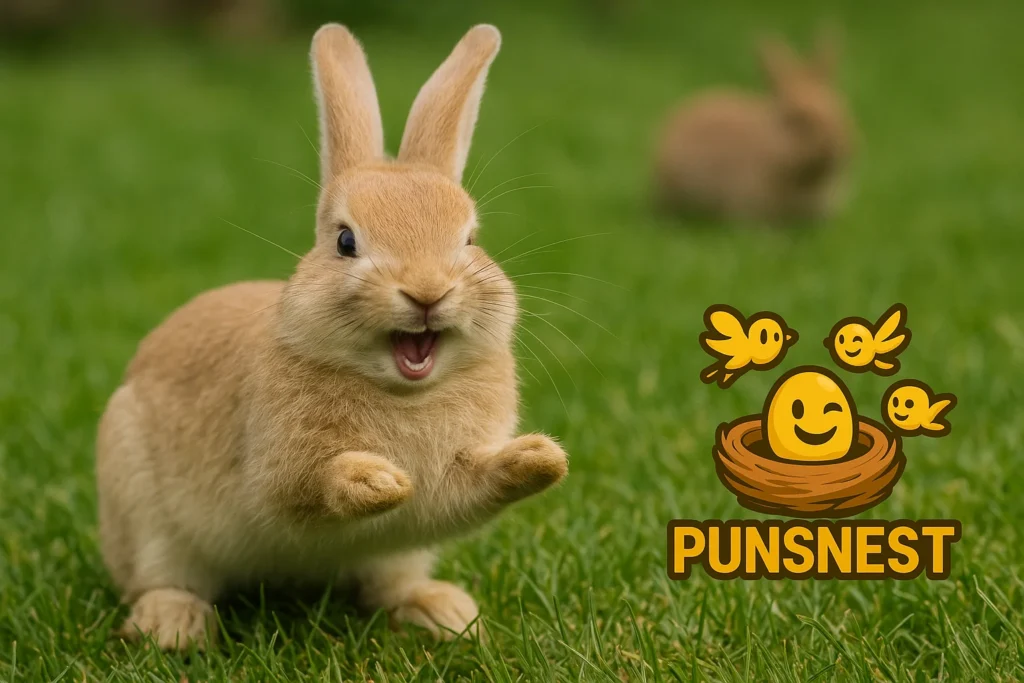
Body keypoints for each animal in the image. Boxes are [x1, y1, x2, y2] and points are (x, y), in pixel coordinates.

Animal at [96, 23, 569, 651]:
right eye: (345, 241)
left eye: (469, 239)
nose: (427, 291)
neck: (404, 392)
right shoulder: (275, 469)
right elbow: (307, 488)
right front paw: (375, 478)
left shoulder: (441, 494)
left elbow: (462, 491)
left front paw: (539, 457)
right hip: (142, 506)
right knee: (161, 577)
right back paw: (173, 626)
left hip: (396, 558)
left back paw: (442, 612)